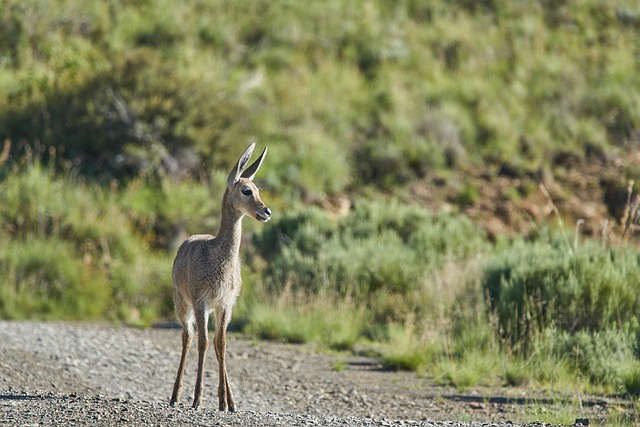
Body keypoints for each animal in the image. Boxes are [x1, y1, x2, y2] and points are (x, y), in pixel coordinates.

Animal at [169, 144, 272, 412]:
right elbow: (204, 342)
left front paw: (226, 402)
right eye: (246, 190)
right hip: (182, 303)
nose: (266, 211)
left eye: (258, 189)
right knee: (188, 337)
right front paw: (197, 399)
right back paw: (175, 396)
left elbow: (221, 344)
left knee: (213, 342)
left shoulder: (226, 304)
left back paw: (228, 400)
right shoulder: (201, 301)